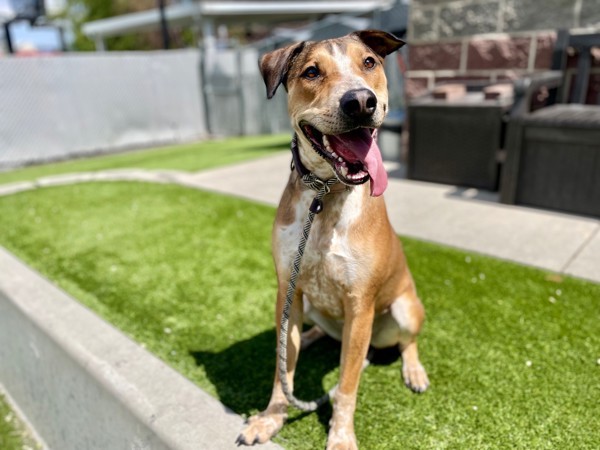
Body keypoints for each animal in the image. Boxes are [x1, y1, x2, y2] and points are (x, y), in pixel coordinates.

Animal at [237, 29, 428, 448]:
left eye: (369, 62)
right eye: (311, 72)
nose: (360, 101)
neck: (325, 194)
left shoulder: (360, 305)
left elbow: (345, 387)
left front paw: (341, 436)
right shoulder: (287, 290)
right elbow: (283, 372)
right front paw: (269, 419)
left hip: (404, 309)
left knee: (407, 343)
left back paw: (414, 371)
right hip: (307, 306)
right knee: (301, 337)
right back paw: (307, 338)